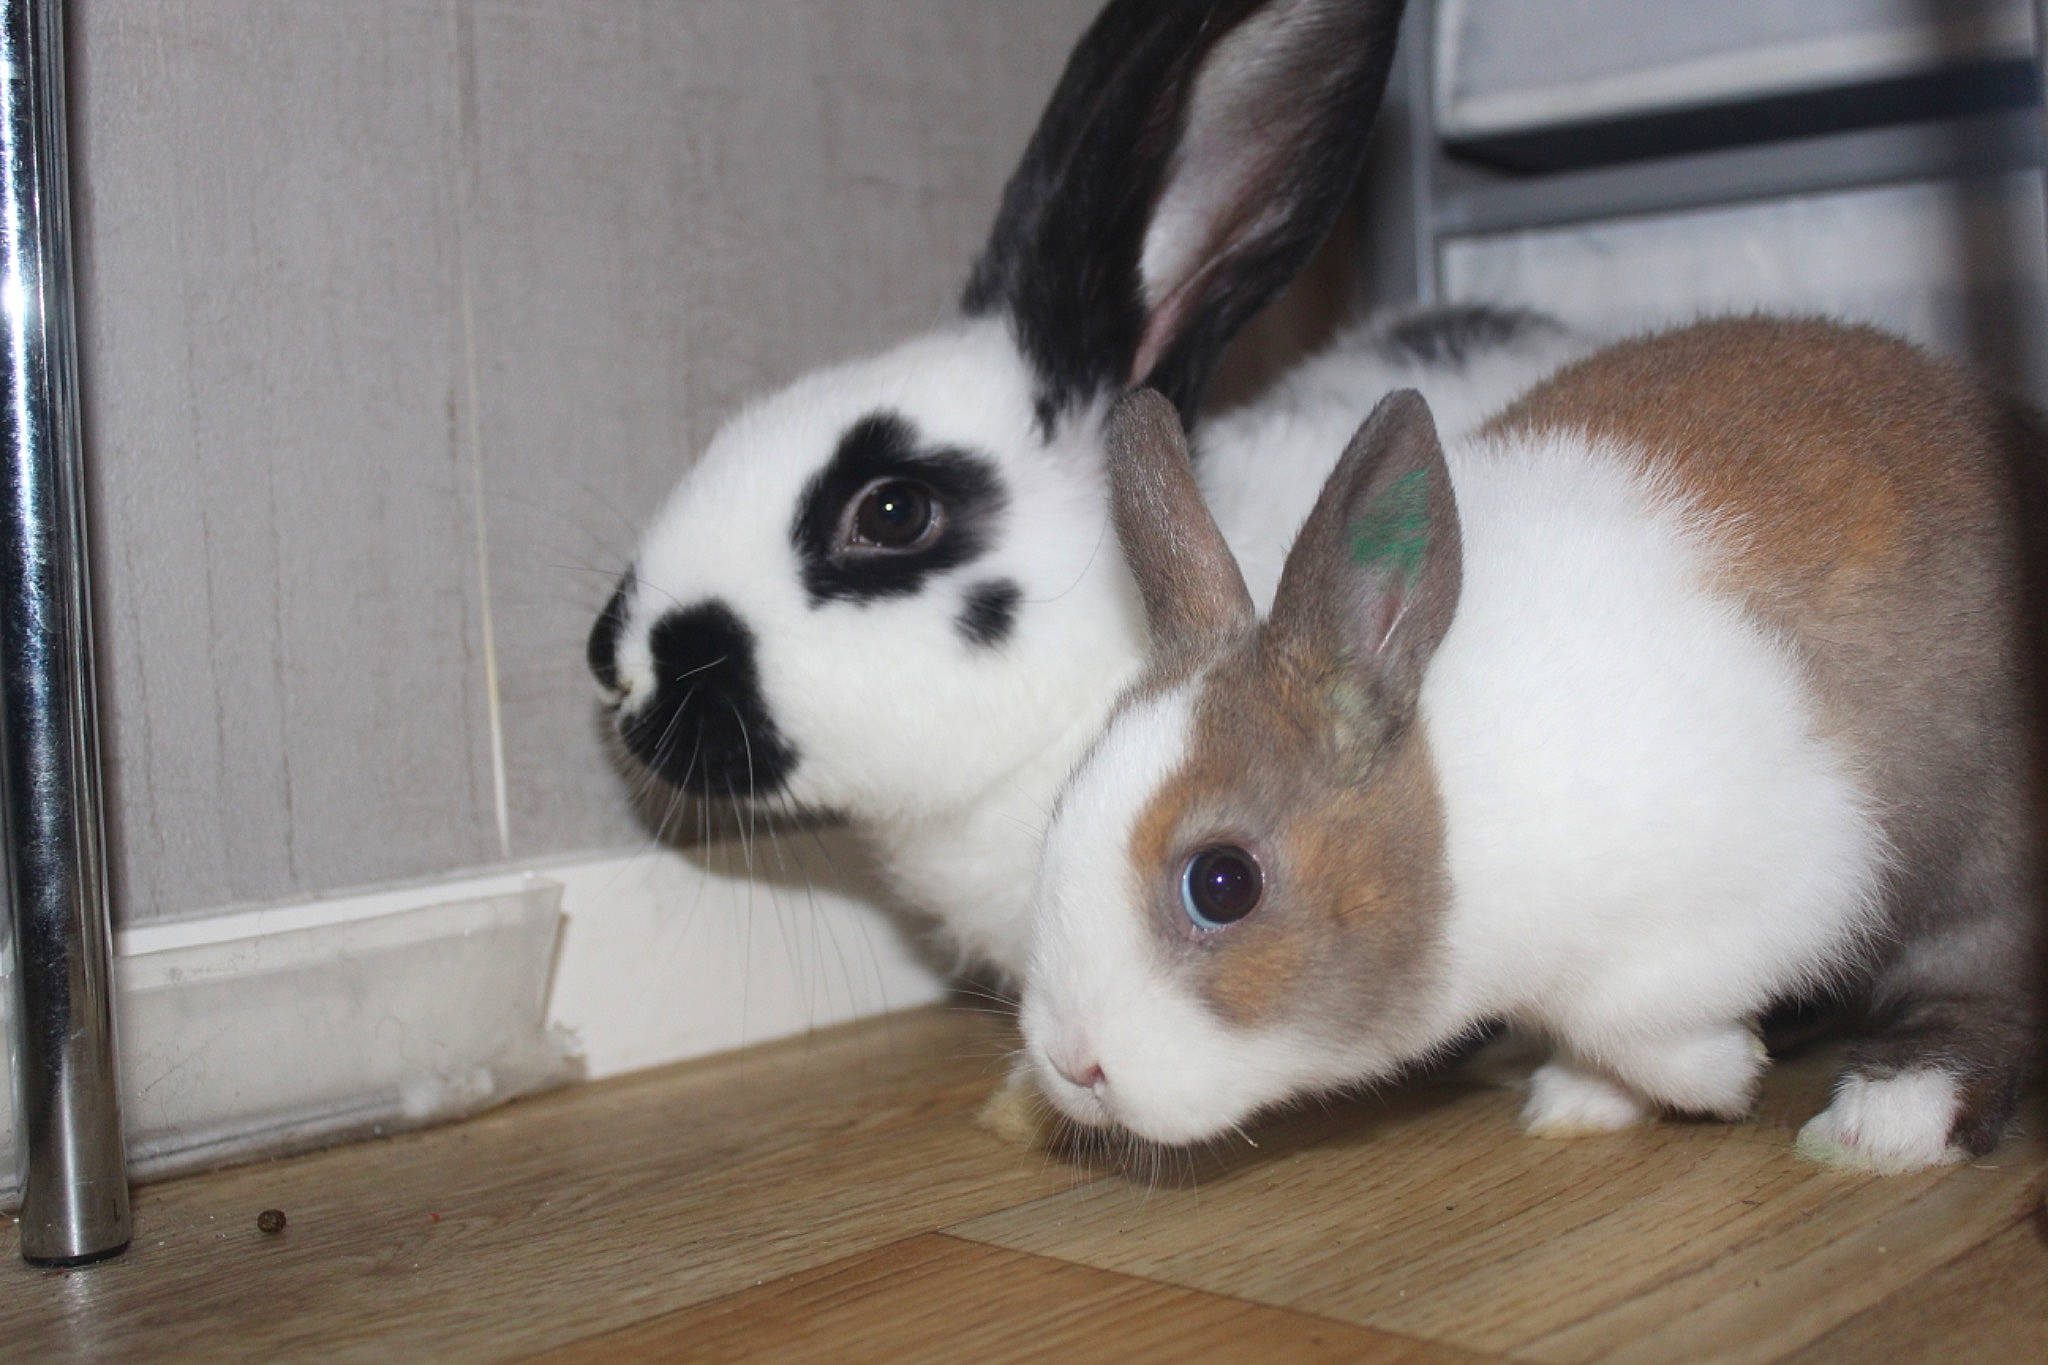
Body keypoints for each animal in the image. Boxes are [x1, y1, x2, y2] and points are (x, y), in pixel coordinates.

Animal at [1020, 318, 2044, 1173]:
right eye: (1057, 812)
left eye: (1223, 882)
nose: (1072, 1064)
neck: (1457, 811)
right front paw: (1588, 1095)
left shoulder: (1796, 875)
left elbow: (1636, 1019)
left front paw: (1722, 1075)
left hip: (1982, 868)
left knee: (1979, 991)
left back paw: (1883, 1121)